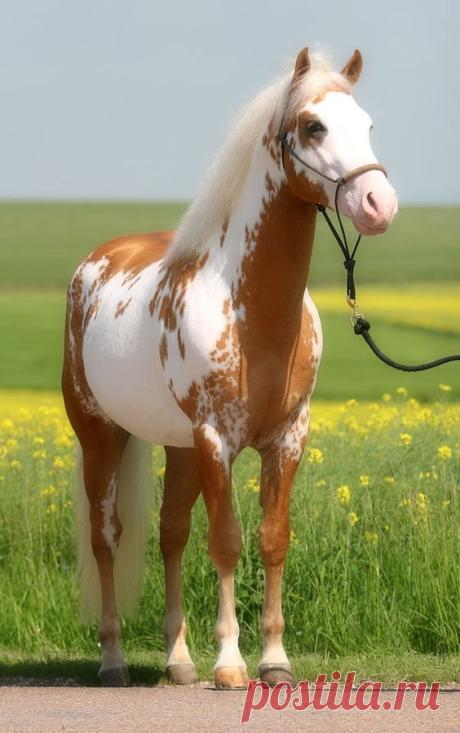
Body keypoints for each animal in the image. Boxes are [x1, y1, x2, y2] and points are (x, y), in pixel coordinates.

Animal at [62, 47, 398, 688]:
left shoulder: (287, 438)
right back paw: (114, 658)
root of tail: (95, 262)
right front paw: (230, 663)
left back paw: (178, 661)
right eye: (313, 126)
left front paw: (274, 660)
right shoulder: (216, 440)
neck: (252, 314)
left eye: (368, 125)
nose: (378, 205)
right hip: (102, 435)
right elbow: (226, 541)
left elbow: (271, 539)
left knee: (170, 533)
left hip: (178, 447)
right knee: (107, 537)